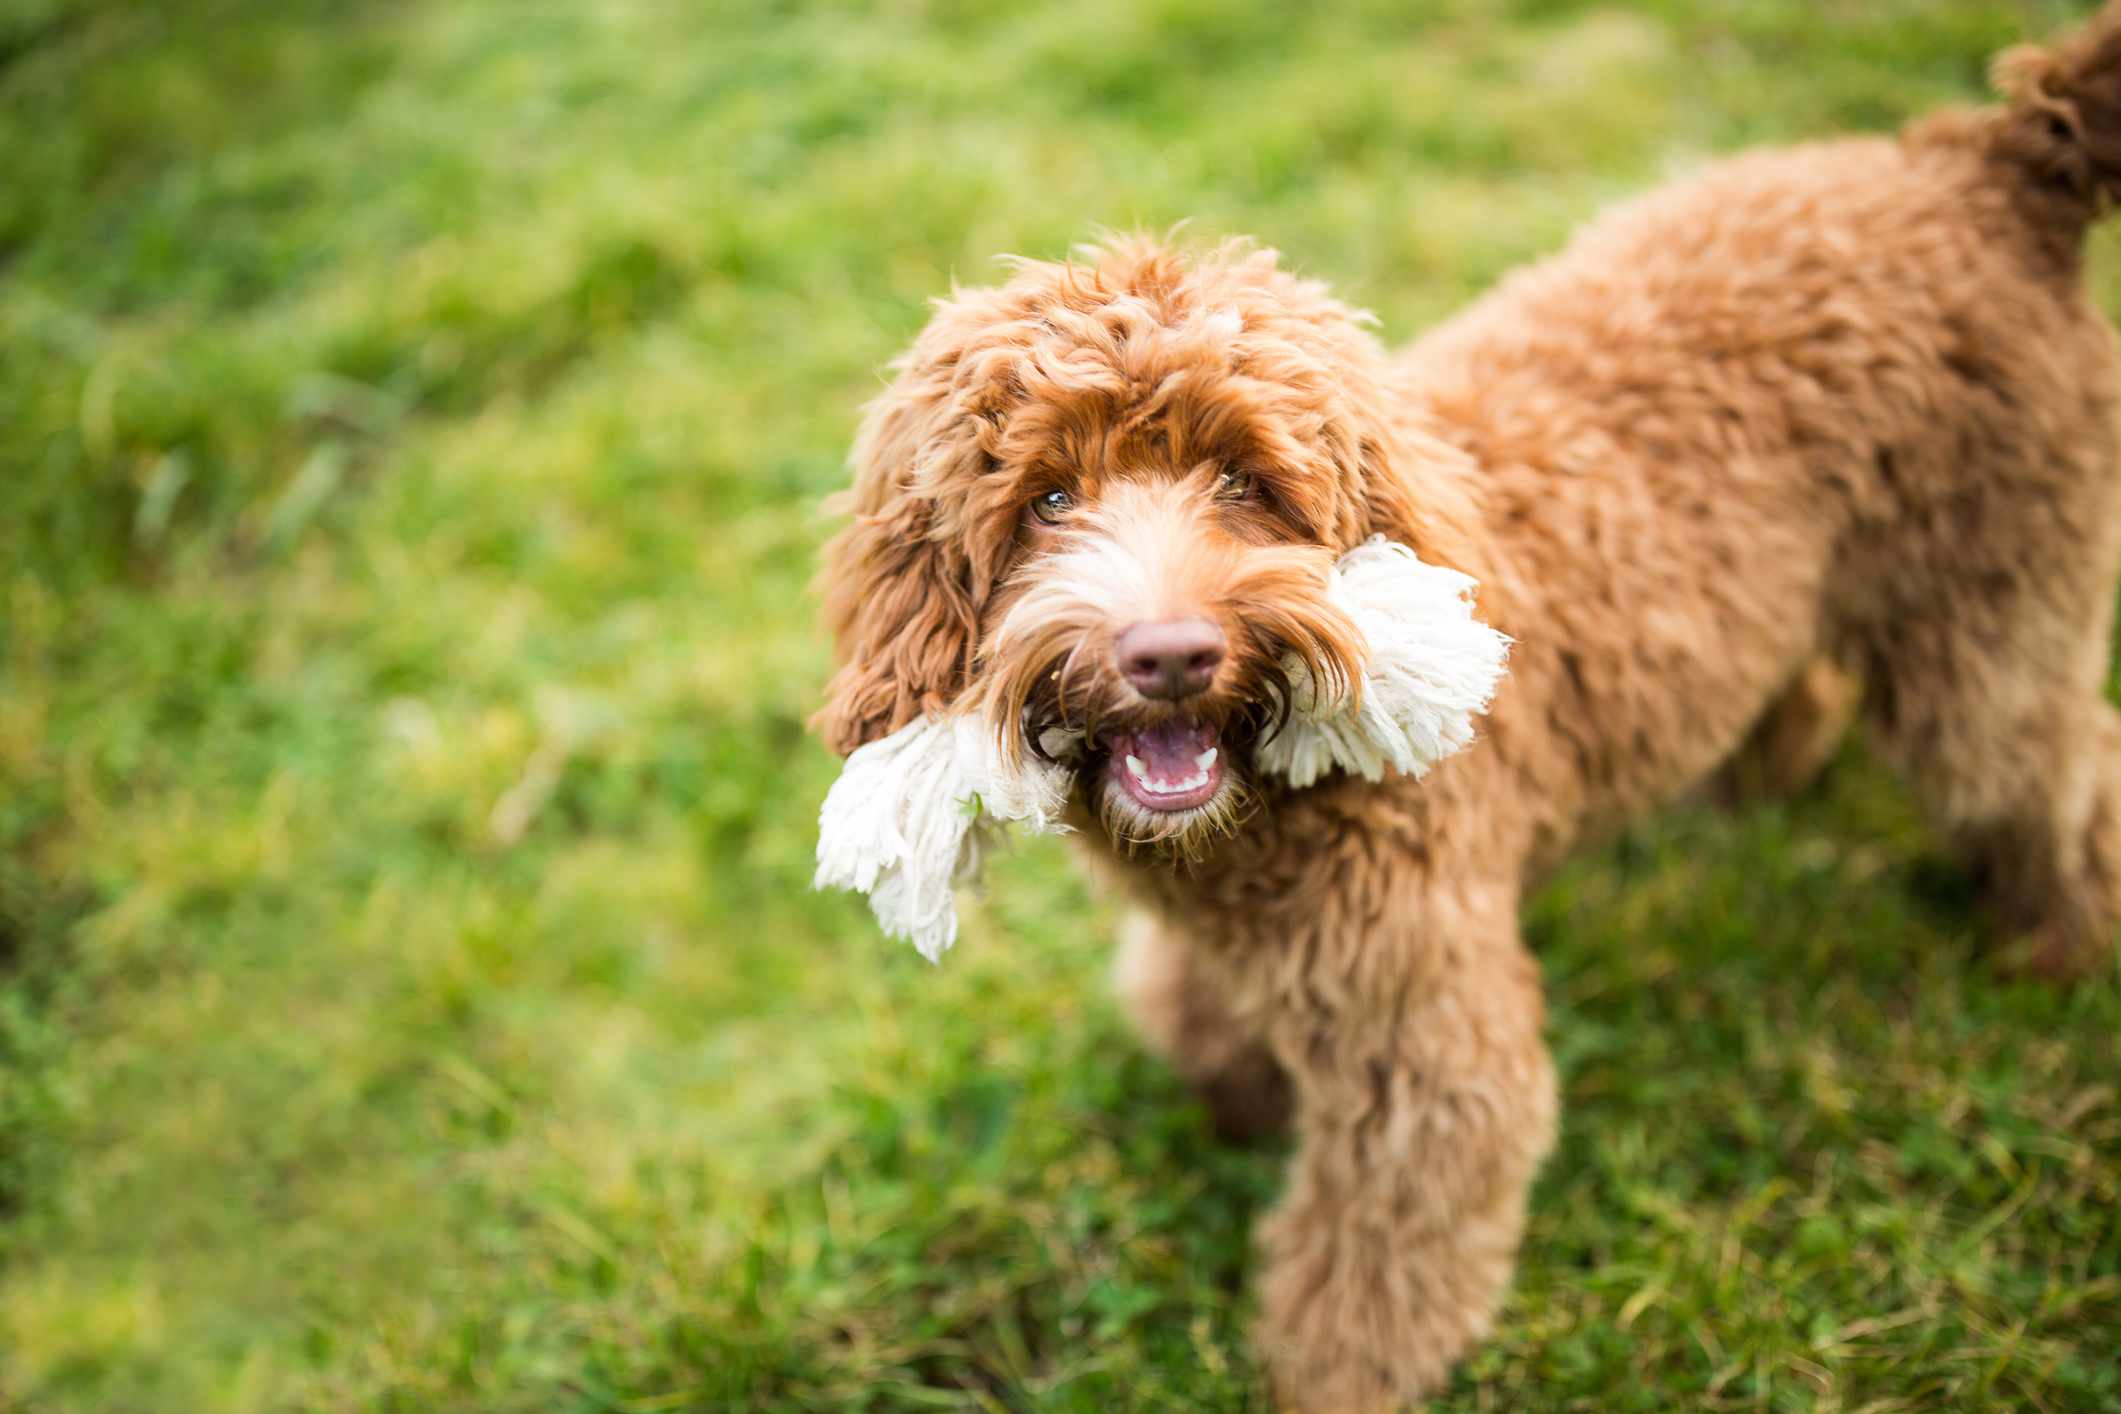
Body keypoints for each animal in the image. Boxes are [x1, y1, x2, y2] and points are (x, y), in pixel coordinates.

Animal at [818, 8, 2121, 1407]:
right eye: (1047, 501)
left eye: (1243, 480)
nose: (1168, 655)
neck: (1256, 810)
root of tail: (1988, 165)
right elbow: (1200, 1022)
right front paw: (1235, 1083)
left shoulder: (1420, 1019)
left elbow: (1388, 1235)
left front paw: (1332, 1374)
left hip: (1989, 612)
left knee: (2052, 765)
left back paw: (2060, 946)